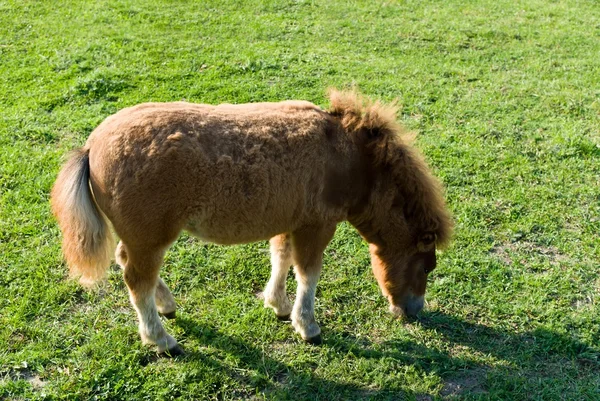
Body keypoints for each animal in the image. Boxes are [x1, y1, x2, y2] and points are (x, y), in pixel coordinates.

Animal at [51, 90, 452, 354]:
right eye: (425, 265)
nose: (412, 312)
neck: (353, 160)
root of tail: (91, 146)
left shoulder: (292, 220)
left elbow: (282, 259)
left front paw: (278, 305)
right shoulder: (318, 225)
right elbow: (309, 273)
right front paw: (308, 326)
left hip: (140, 237)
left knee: (127, 262)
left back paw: (167, 306)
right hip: (151, 238)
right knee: (137, 280)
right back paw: (161, 339)